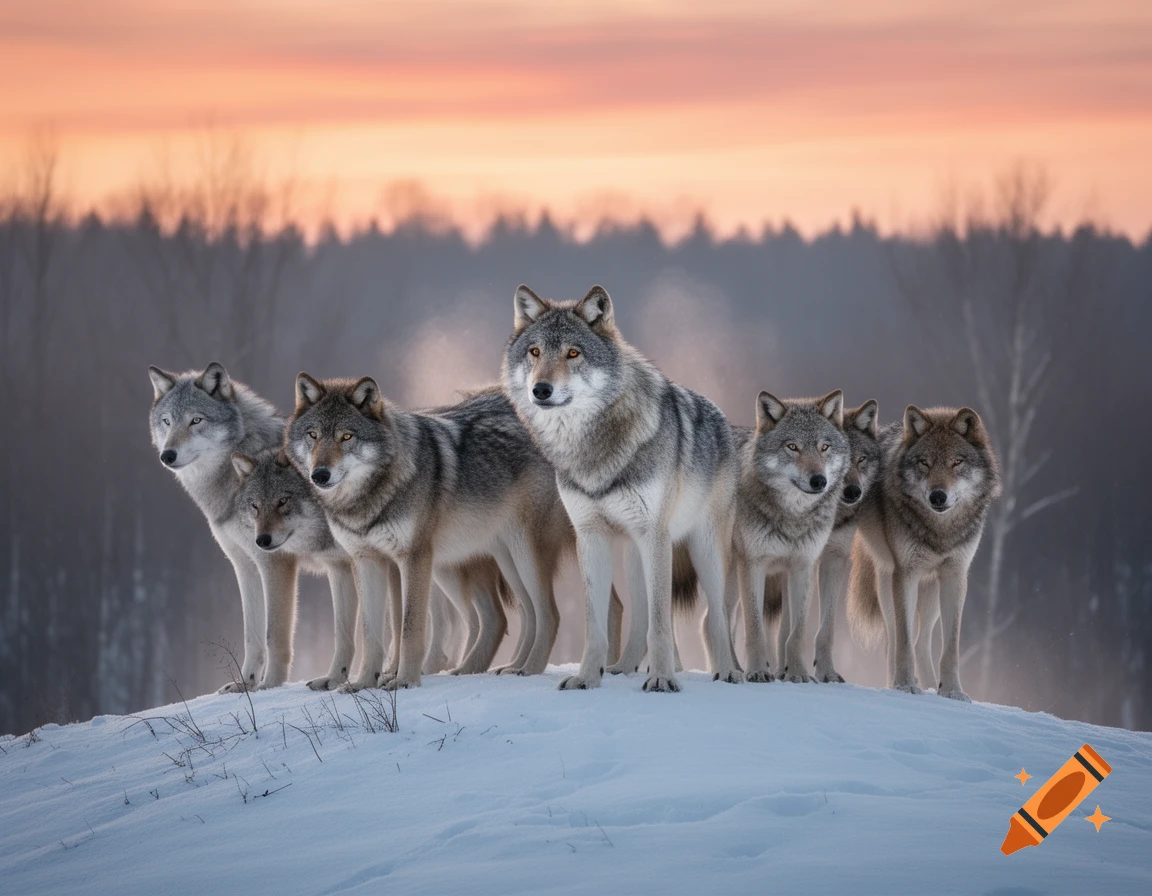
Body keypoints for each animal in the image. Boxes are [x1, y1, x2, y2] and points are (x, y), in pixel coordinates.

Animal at [148, 363, 287, 691]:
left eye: (196, 420)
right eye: (167, 421)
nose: (167, 455)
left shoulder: (274, 561)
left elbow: (273, 634)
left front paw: (271, 688)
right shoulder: (244, 564)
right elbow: (252, 635)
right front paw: (246, 685)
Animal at [286, 380, 570, 689]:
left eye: (347, 436)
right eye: (313, 435)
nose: (319, 475)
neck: (368, 500)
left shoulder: (413, 558)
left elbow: (409, 627)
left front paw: (404, 681)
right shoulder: (367, 561)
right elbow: (371, 632)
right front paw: (363, 683)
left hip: (520, 554)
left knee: (549, 615)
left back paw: (529, 670)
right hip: (498, 561)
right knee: (518, 616)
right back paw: (497, 668)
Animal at [503, 284, 743, 692]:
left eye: (573, 353)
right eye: (534, 352)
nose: (541, 390)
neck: (592, 449)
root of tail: (722, 417)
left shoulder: (654, 536)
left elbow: (662, 624)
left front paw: (662, 679)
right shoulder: (590, 536)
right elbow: (596, 624)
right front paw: (586, 678)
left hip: (703, 550)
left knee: (715, 617)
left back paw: (727, 671)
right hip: (634, 557)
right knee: (641, 616)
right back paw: (623, 667)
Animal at [728, 391, 850, 683]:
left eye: (824, 447)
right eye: (792, 447)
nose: (819, 481)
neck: (793, 516)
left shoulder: (803, 566)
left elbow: (797, 632)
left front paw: (798, 674)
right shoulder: (753, 564)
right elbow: (755, 629)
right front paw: (758, 671)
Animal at [848, 405, 1001, 700]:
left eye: (956, 463)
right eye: (925, 463)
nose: (937, 496)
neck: (940, 531)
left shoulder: (955, 575)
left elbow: (950, 648)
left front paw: (952, 692)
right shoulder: (906, 573)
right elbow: (904, 642)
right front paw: (905, 686)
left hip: (930, 591)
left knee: (921, 644)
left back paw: (931, 687)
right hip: (888, 586)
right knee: (895, 641)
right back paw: (899, 684)